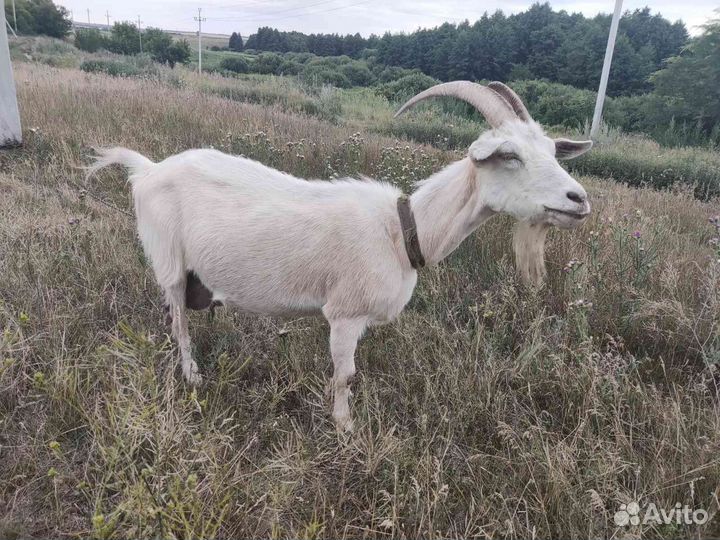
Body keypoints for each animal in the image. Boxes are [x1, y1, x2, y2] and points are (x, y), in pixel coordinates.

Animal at [88, 81, 592, 431]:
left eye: (553, 151)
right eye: (510, 156)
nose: (578, 199)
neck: (402, 230)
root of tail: (148, 169)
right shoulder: (345, 313)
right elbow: (345, 375)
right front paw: (345, 428)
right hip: (170, 261)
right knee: (177, 320)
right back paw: (192, 376)